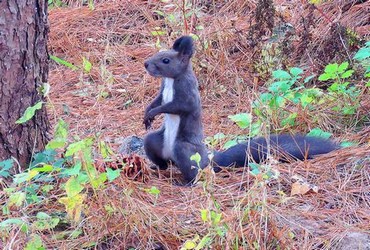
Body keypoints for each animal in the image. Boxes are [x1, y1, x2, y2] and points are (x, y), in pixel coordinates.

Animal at [143, 35, 340, 184]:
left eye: (166, 60)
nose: (146, 64)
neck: (171, 80)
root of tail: (208, 159)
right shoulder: (163, 90)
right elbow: (157, 100)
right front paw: (147, 113)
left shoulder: (188, 93)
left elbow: (178, 106)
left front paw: (153, 113)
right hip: (155, 142)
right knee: (159, 154)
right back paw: (157, 167)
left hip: (184, 149)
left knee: (194, 170)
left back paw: (187, 182)